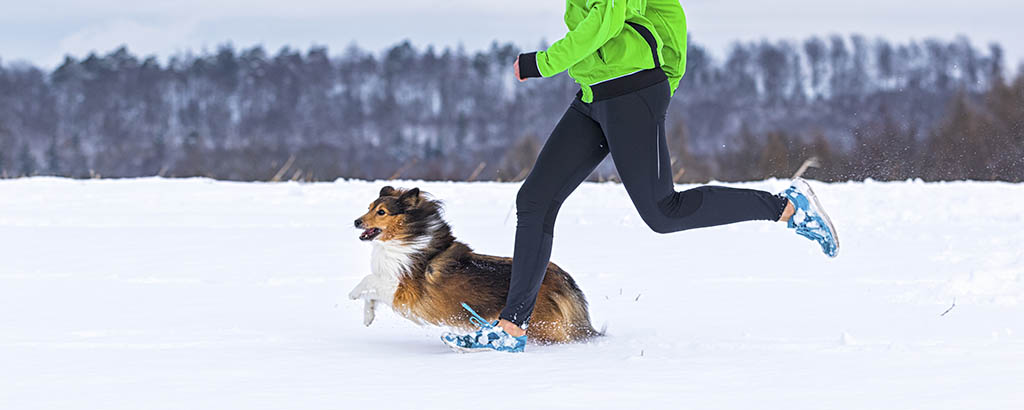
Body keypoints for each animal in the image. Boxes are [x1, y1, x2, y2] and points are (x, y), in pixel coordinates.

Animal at [348, 185, 598, 342]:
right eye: (369, 207)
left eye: (381, 212)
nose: (356, 221)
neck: (408, 236)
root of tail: (563, 278)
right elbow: (372, 293)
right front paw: (368, 317)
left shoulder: (403, 291)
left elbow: (369, 280)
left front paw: (353, 294)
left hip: (542, 325)